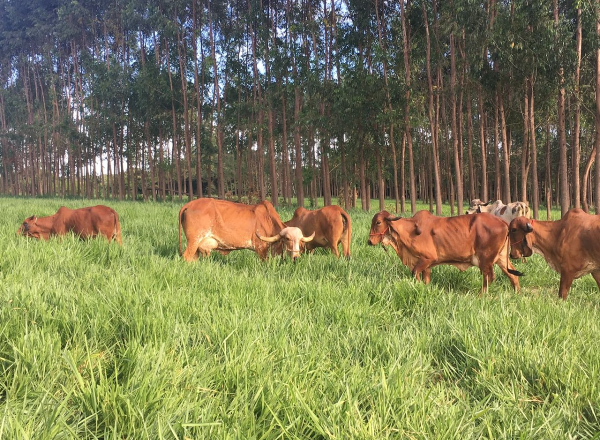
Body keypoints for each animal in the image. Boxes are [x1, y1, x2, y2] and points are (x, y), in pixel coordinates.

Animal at [178, 197, 312, 262]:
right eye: (288, 239)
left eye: (300, 240)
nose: (296, 257)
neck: (269, 219)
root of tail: (189, 204)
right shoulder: (260, 249)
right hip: (194, 240)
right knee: (186, 257)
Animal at [366, 210, 520, 292]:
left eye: (378, 222)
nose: (369, 241)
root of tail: (504, 223)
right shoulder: (426, 265)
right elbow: (425, 279)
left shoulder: (427, 258)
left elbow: (414, 273)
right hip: (501, 258)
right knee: (513, 275)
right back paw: (517, 294)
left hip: (486, 259)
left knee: (489, 277)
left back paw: (481, 296)